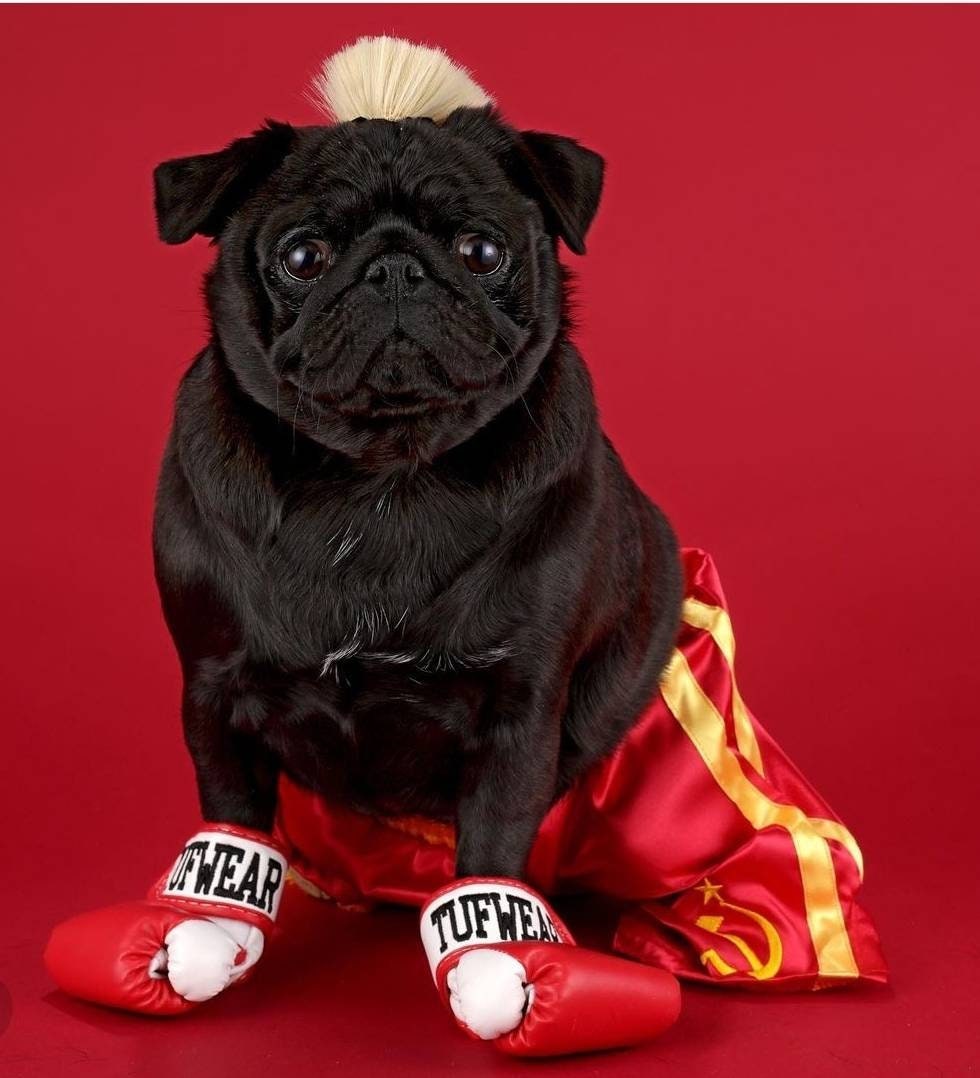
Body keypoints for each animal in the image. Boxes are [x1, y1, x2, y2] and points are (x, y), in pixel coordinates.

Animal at [150, 101, 681, 879]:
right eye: (303, 257)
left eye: (481, 252)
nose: (395, 267)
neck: (381, 474)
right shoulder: (215, 702)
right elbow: (233, 830)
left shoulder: (517, 721)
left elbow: (490, 860)